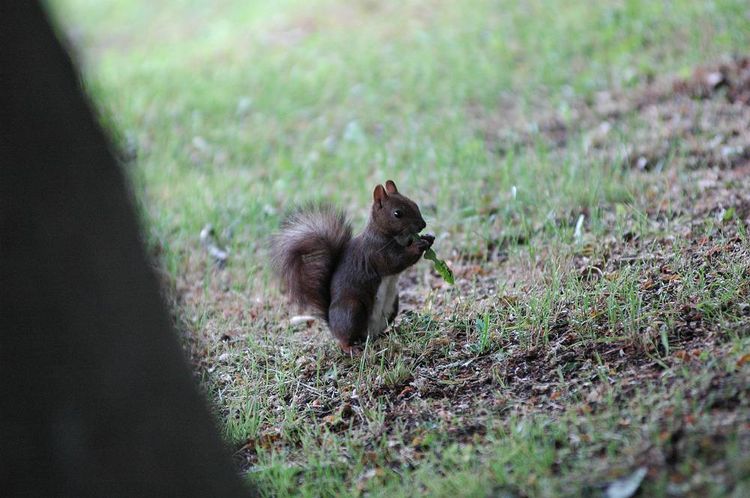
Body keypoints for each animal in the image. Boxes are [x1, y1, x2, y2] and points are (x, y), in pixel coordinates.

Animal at [270, 181, 434, 352]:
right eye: (397, 213)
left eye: (414, 204)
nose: (423, 225)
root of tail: (332, 324)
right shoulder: (376, 252)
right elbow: (397, 261)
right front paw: (418, 245)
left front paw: (428, 238)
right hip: (352, 310)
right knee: (344, 338)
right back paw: (350, 348)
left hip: (392, 304)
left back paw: (386, 334)